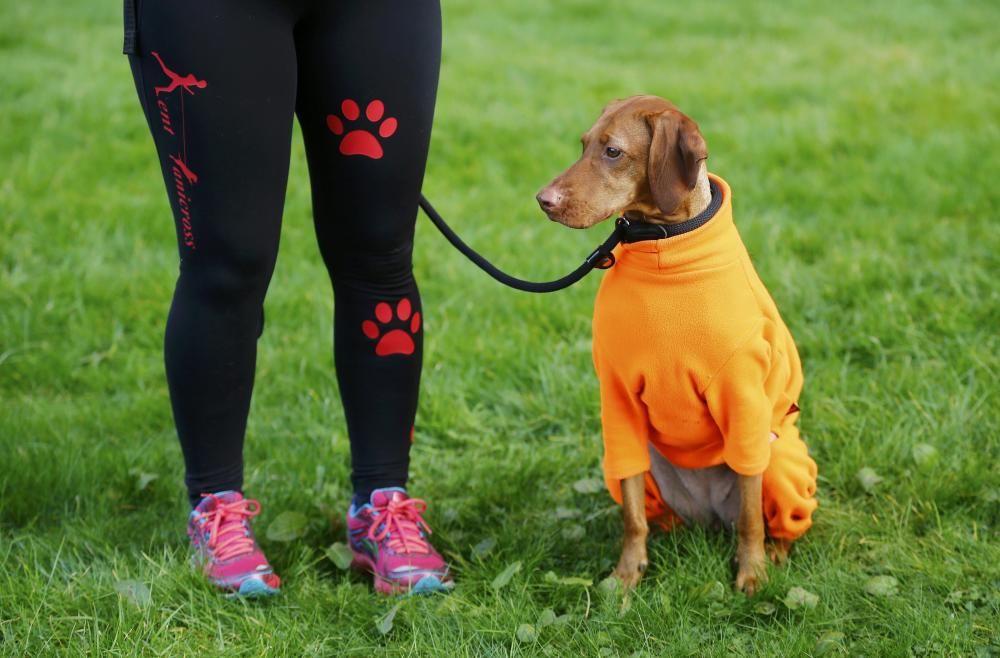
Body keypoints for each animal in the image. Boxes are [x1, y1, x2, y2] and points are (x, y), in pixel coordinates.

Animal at [536, 95, 816, 592]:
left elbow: (751, 517)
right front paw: (626, 575)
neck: (663, 246)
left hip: (780, 456)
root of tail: (710, 517)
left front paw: (751, 573)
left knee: (766, 516)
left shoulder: (743, 400)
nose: (542, 200)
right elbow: (631, 518)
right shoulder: (618, 402)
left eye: (613, 151)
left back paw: (774, 553)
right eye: (584, 144)